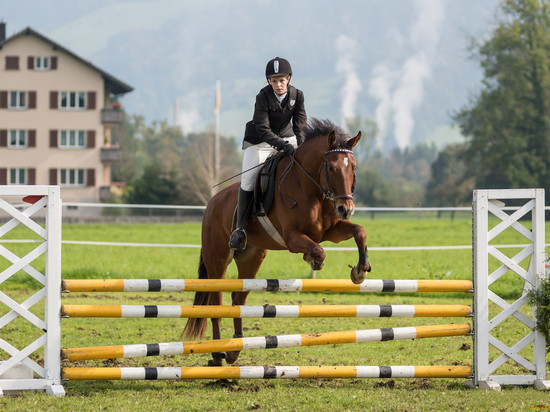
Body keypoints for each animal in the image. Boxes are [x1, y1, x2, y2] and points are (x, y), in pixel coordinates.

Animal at [183, 117, 374, 366]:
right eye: (331, 167)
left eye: (354, 167)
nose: (346, 209)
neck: (311, 187)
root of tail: (213, 202)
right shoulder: (293, 237)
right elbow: (318, 250)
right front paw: (314, 261)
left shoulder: (330, 231)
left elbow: (359, 231)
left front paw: (359, 271)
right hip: (217, 260)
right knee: (217, 302)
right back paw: (217, 354)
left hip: (251, 258)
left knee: (238, 299)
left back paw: (234, 349)